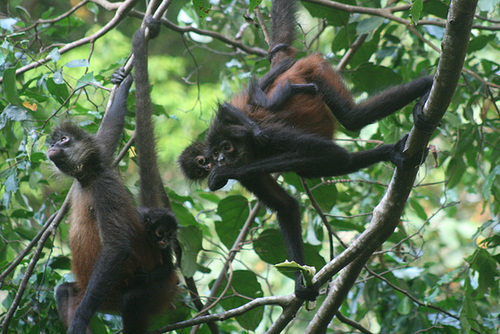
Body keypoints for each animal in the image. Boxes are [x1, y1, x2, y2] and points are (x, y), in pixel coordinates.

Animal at [48, 18, 178, 334]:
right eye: (56, 140)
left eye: (65, 140)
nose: (52, 146)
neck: (87, 178)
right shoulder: (103, 156)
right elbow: (109, 131)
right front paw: (125, 83)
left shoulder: (105, 184)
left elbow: (117, 247)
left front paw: (81, 317)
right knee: (64, 291)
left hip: (153, 288)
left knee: (132, 300)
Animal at [178, 0, 432, 302]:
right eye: (210, 157)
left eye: (224, 149)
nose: (219, 160)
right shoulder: (251, 173)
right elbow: (287, 204)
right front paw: (300, 282)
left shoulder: (266, 134)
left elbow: (330, 153)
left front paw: (221, 175)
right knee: (333, 153)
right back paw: (394, 151)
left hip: (314, 70)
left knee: (352, 119)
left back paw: (428, 84)